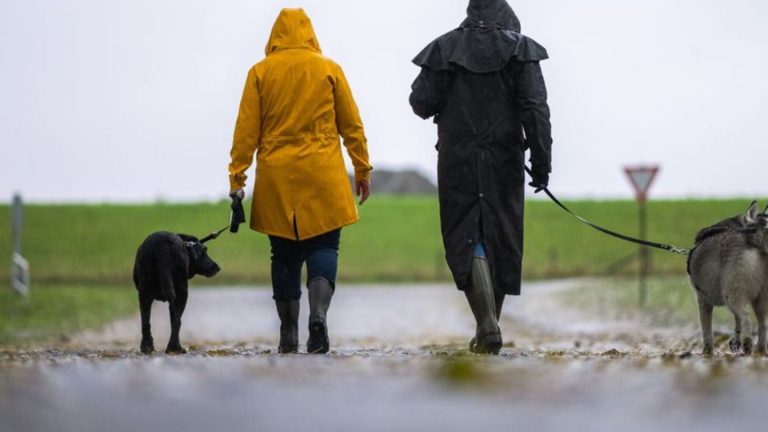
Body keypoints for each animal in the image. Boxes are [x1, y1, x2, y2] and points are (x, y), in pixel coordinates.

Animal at [688, 202, 768, 354]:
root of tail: (755, 241)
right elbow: (736, 321)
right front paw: (735, 341)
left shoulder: (702, 300)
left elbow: (706, 330)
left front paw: (707, 352)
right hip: (758, 298)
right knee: (763, 323)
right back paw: (759, 350)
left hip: (732, 293)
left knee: (746, 318)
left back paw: (748, 344)